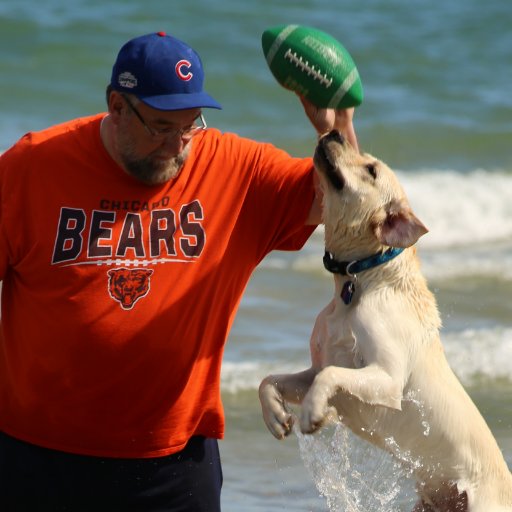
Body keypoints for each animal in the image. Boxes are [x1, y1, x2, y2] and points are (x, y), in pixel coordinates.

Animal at [260, 132, 512, 512]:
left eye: (371, 169)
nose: (334, 132)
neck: (362, 276)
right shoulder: (317, 366)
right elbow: (271, 379)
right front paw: (276, 416)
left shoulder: (387, 378)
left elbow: (332, 376)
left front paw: (313, 412)